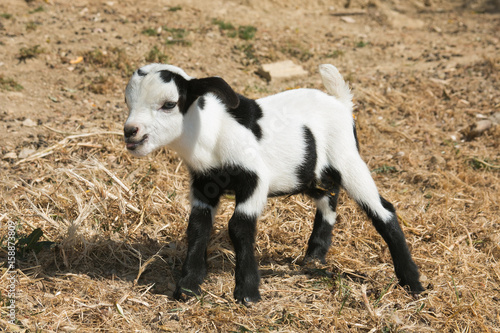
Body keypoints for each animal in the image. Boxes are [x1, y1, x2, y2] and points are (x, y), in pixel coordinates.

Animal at [123, 61, 424, 300]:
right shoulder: (204, 184)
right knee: (329, 195)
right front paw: (187, 287)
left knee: (383, 211)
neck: (212, 133)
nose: (130, 131)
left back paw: (413, 283)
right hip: (312, 173)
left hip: (348, 158)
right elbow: (198, 227)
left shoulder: (254, 178)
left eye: (169, 104)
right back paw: (314, 257)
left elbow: (239, 226)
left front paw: (248, 293)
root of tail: (341, 103)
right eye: (128, 103)